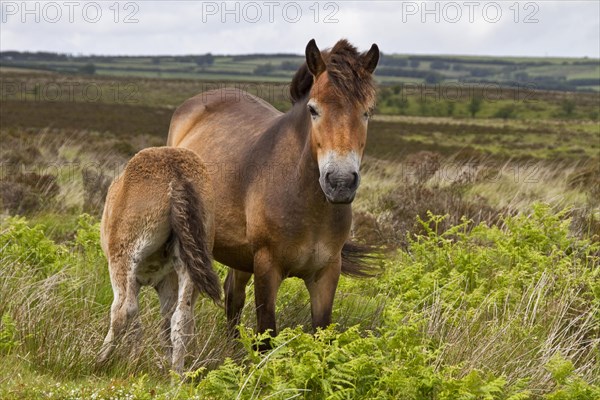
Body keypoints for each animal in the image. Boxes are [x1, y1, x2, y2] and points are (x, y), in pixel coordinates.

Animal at [97, 147, 221, 372]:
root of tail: (176, 174)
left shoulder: (134, 277)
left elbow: (132, 312)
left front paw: (133, 359)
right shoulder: (166, 283)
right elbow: (166, 322)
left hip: (123, 258)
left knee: (122, 309)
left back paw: (100, 360)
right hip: (187, 263)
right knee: (181, 317)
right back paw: (177, 375)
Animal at [166, 38, 378, 344]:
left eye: (367, 112)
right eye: (313, 109)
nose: (339, 182)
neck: (309, 207)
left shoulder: (327, 273)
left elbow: (322, 334)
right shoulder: (267, 267)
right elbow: (266, 335)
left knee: (233, 297)